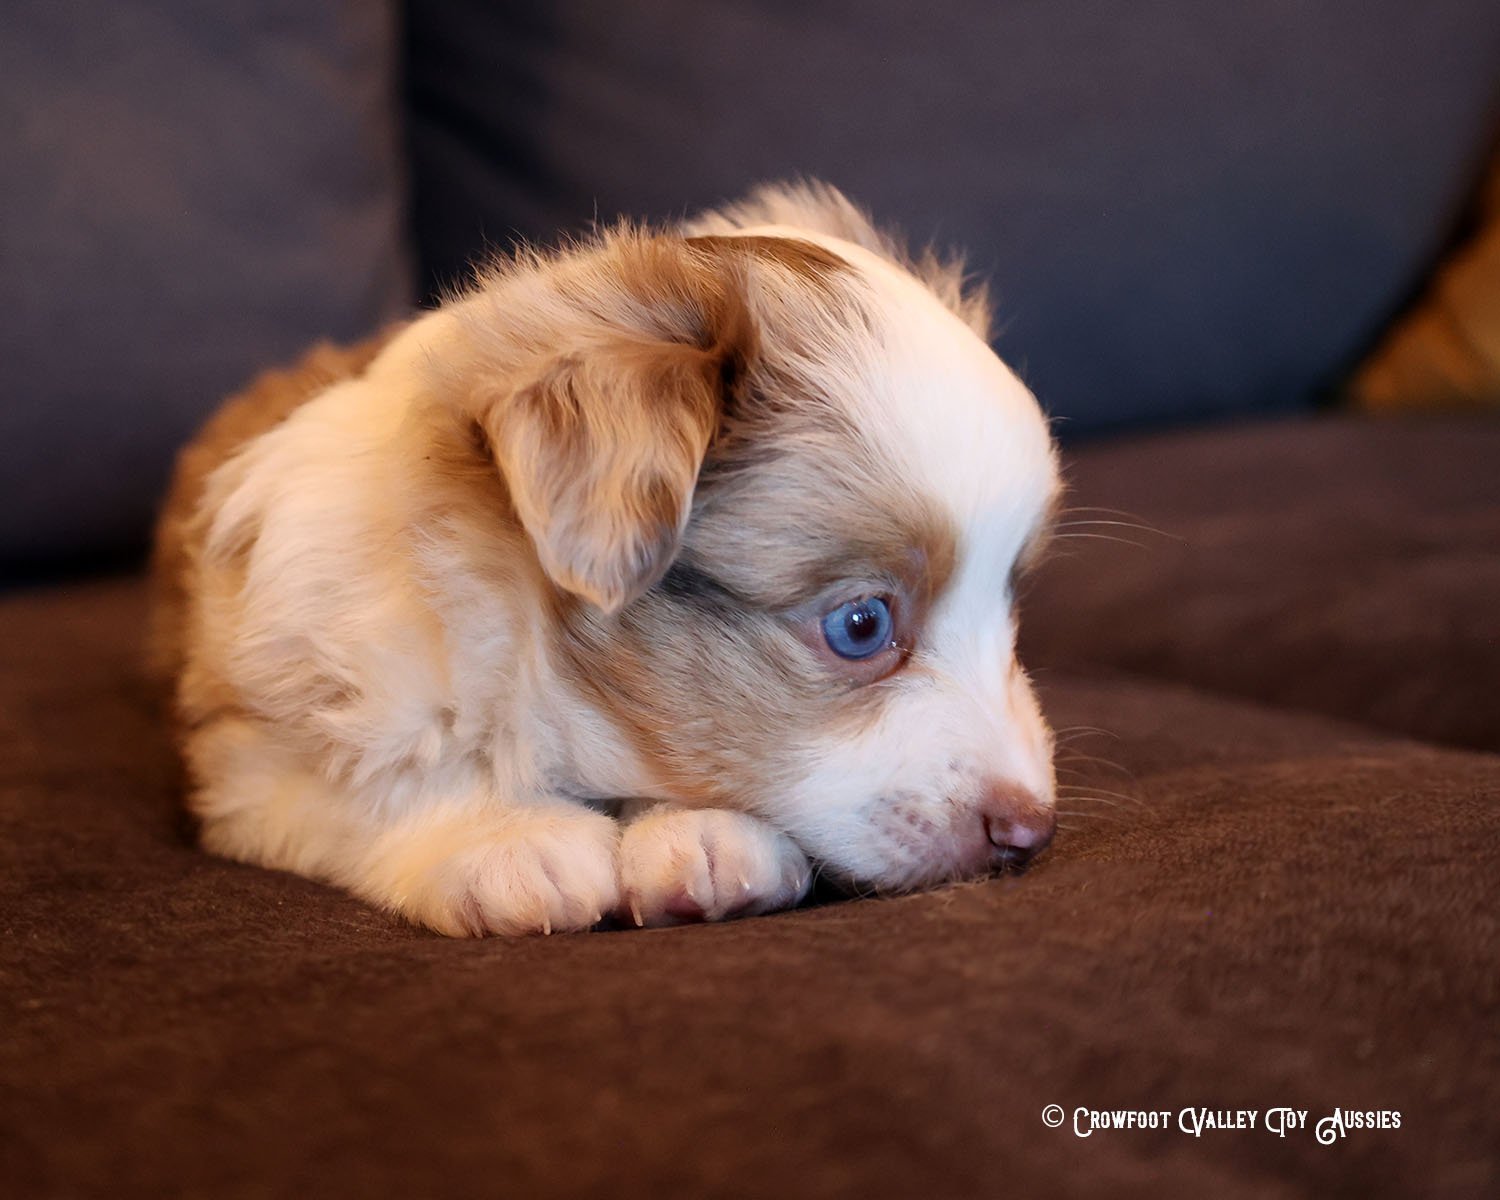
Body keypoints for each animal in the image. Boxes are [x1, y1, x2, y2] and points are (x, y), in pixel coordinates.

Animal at [149, 183, 1056, 930]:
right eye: (861, 626)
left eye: (1008, 604)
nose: (1032, 830)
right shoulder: (246, 753)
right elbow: (378, 779)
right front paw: (504, 838)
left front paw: (706, 832)